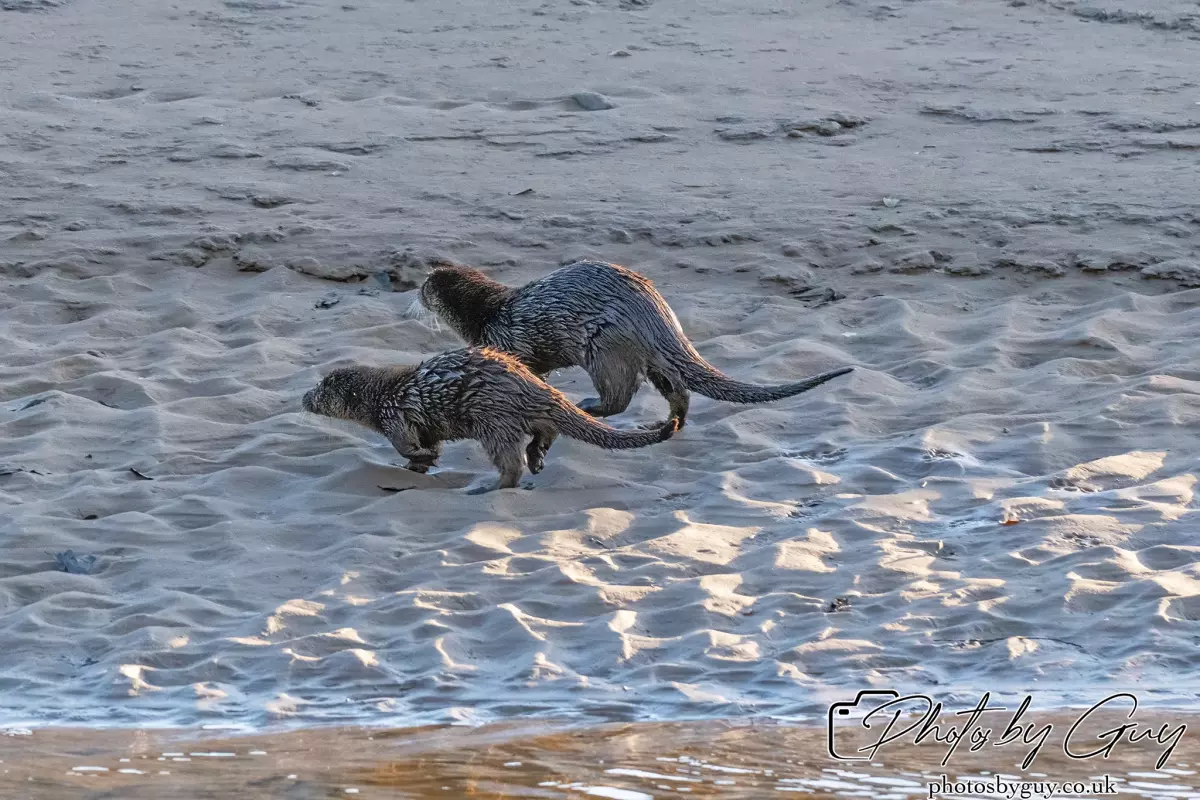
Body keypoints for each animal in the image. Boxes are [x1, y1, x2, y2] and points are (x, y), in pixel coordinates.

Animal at [301, 347, 678, 494]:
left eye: (319, 390)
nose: (303, 398)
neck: (382, 394)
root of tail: (532, 385)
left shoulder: (394, 415)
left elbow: (406, 444)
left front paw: (418, 459)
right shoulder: (423, 426)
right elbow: (428, 447)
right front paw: (416, 469)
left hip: (492, 419)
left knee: (511, 465)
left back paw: (488, 488)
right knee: (545, 430)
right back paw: (537, 457)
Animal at [415, 261, 852, 427]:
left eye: (423, 289)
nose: (415, 294)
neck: (488, 313)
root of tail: (656, 315)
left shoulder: (507, 339)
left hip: (604, 347)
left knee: (619, 395)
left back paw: (590, 406)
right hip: (652, 357)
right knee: (677, 389)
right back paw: (668, 422)